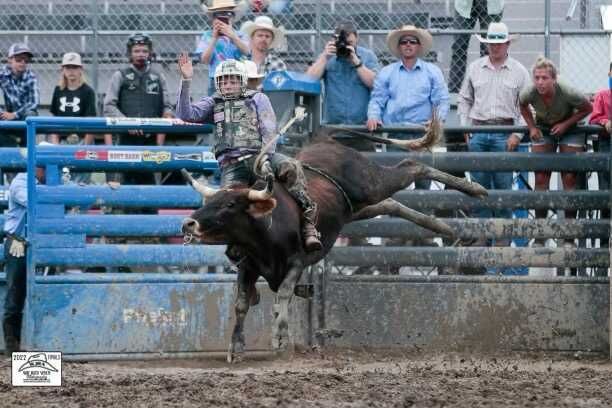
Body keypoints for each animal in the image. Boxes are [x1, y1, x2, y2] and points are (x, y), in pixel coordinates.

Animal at [179, 119, 486, 362]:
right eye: (211, 201)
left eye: (229, 204)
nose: (189, 223)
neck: (266, 231)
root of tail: (324, 139)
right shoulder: (249, 265)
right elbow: (241, 304)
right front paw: (236, 347)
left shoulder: (298, 261)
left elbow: (283, 294)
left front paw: (280, 339)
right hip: (357, 206)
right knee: (390, 203)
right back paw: (443, 226)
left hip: (371, 184)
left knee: (412, 166)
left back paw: (475, 189)